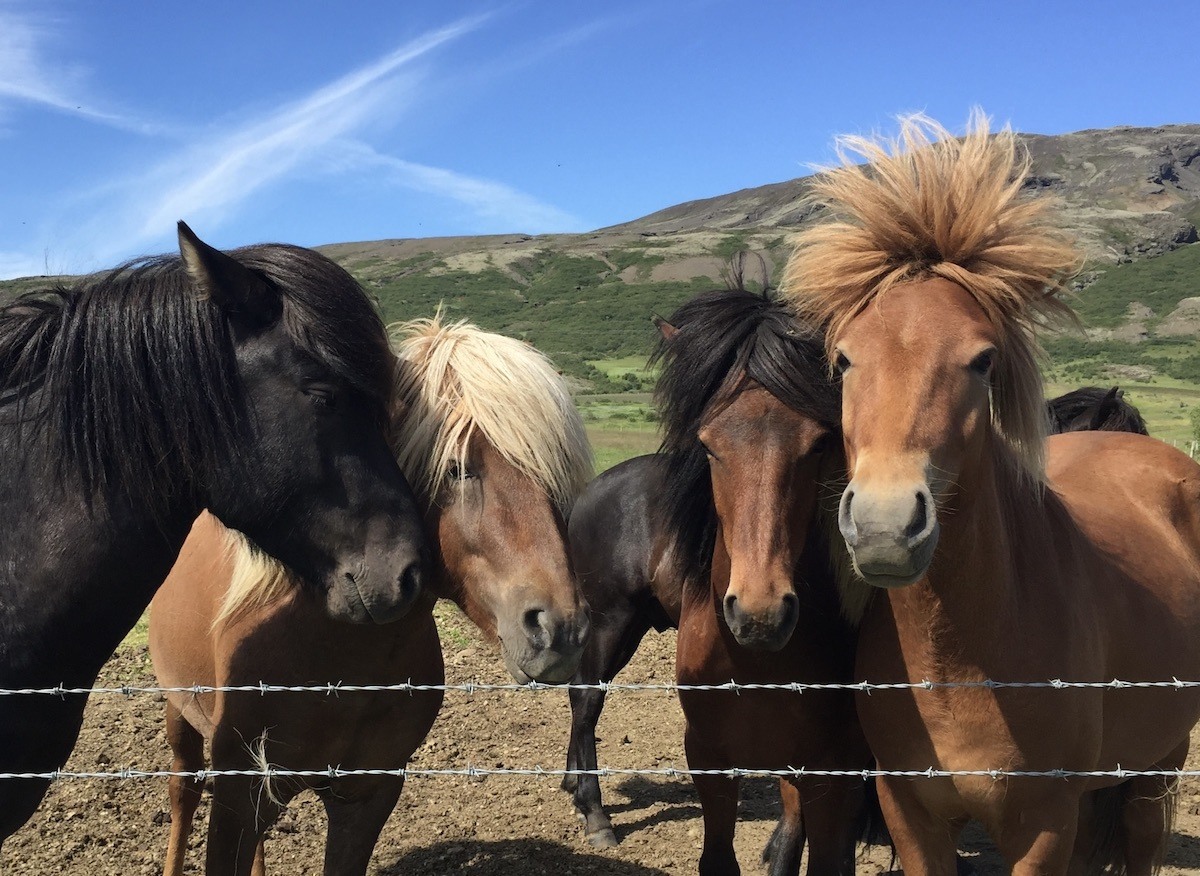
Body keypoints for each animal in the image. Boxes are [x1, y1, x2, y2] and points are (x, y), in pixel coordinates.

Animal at [147, 316, 592, 873]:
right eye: (456, 468)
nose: (560, 630)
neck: (333, 658)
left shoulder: (368, 796)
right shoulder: (238, 796)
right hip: (177, 710)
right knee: (182, 792)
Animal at [782, 112, 1200, 873]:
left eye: (981, 361)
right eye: (845, 359)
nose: (886, 527)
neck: (959, 663)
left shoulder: (1042, 824)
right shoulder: (912, 815)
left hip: (1159, 761)